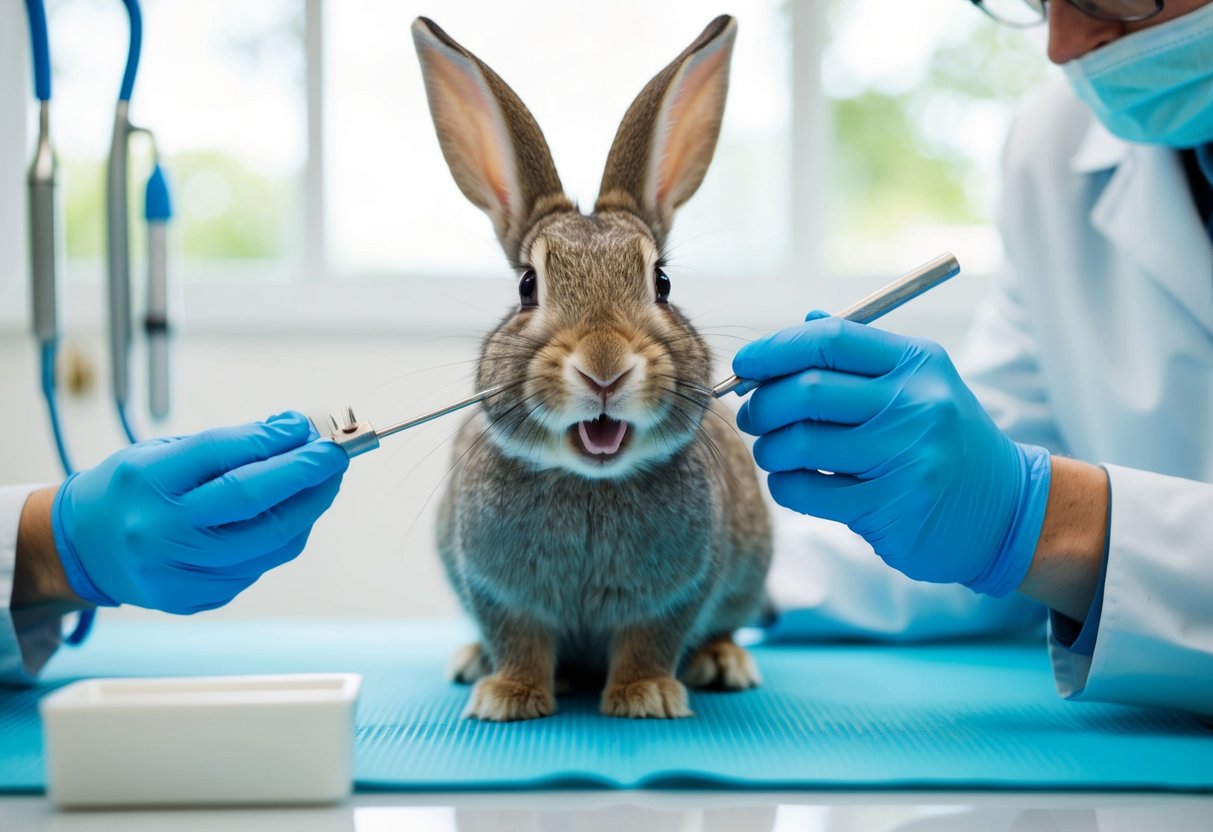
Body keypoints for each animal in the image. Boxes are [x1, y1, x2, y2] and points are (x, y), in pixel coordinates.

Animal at [412, 13, 772, 722]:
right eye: (528, 286)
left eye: (661, 282)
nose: (604, 368)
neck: (590, 483)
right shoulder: (499, 594)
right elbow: (518, 640)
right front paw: (510, 698)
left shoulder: (677, 594)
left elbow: (649, 641)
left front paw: (646, 697)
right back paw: (473, 664)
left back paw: (724, 663)